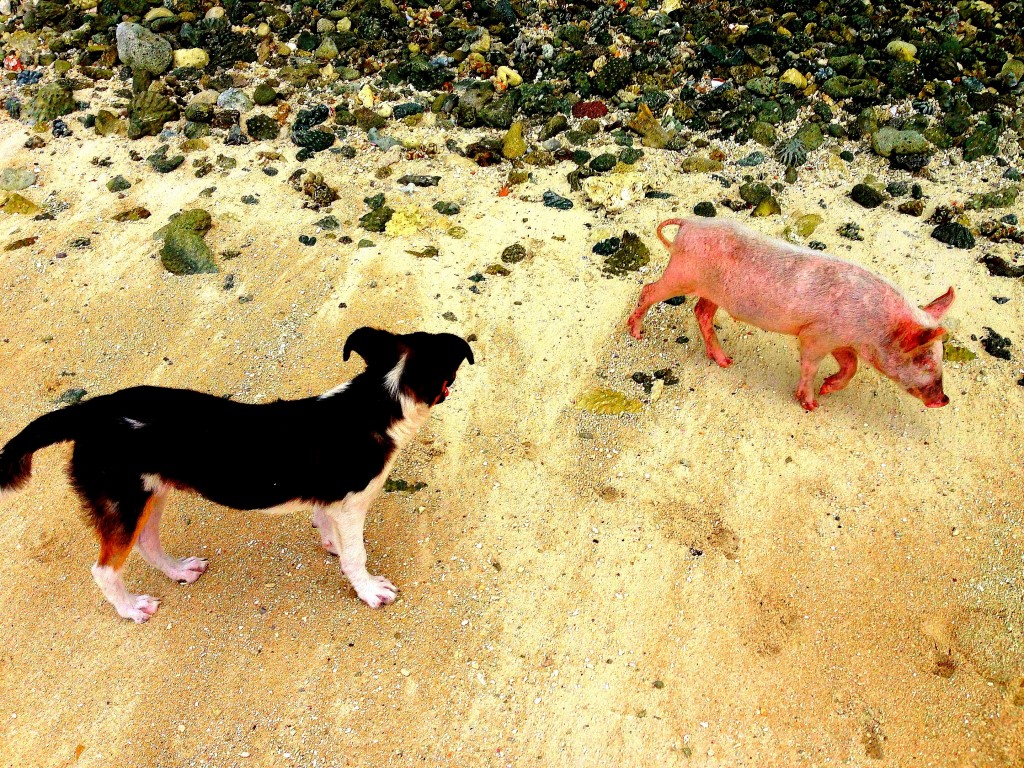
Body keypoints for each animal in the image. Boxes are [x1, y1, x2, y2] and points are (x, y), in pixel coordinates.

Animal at [0, 327, 473, 622]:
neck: (378, 399)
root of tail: (90, 411)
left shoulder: (331, 502)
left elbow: (328, 529)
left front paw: (331, 546)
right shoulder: (352, 504)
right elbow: (356, 555)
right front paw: (369, 589)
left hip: (150, 492)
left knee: (148, 544)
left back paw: (178, 571)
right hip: (124, 502)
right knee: (104, 570)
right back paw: (131, 608)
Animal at [626, 218, 954, 409]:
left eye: (940, 357)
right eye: (925, 360)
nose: (944, 399)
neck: (874, 326)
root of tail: (689, 223)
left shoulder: (840, 340)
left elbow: (851, 367)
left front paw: (827, 390)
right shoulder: (816, 335)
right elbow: (810, 365)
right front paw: (811, 405)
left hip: (711, 291)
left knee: (702, 312)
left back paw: (725, 361)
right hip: (682, 274)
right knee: (649, 290)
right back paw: (636, 332)